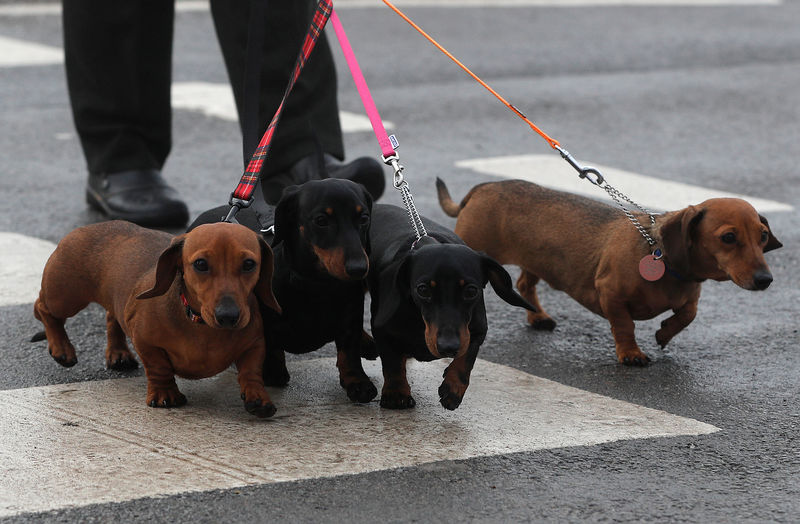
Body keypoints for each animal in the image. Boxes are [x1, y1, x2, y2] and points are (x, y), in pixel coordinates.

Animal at [32, 221, 282, 418]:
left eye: (249, 264)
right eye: (200, 264)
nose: (228, 317)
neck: (199, 323)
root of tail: (88, 227)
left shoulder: (255, 344)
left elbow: (251, 371)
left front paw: (258, 397)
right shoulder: (146, 342)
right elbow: (158, 367)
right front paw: (165, 394)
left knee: (112, 317)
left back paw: (118, 354)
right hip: (65, 296)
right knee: (43, 308)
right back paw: (61, 348)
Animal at [189, 178, 376, 404]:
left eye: (364, 218)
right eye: (321, 220)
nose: (359, 269)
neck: (316, 285)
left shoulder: (351, 313)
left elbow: (349, 350)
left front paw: (357, 381)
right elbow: (269, 344)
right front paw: (272, 372)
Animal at [368, 204, 536, 410]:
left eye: (471, 291)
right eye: (423, 290)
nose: (449, 347)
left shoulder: (477, 332)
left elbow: (466, 358)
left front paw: (453, 388)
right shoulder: (381, 329)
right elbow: (392, 363)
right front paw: (396, 393)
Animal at [438, 178, 780, 366]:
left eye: (763, 235)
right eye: (728, 237)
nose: (766, 280)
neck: (660, 257)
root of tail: (484, 187)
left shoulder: (689, 299)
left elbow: (687, 315)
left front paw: (664, 333)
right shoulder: (610, 294)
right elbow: (624, 325)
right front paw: (631, 353)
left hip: (538, 261)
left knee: (524, 284)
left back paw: (538, 316)